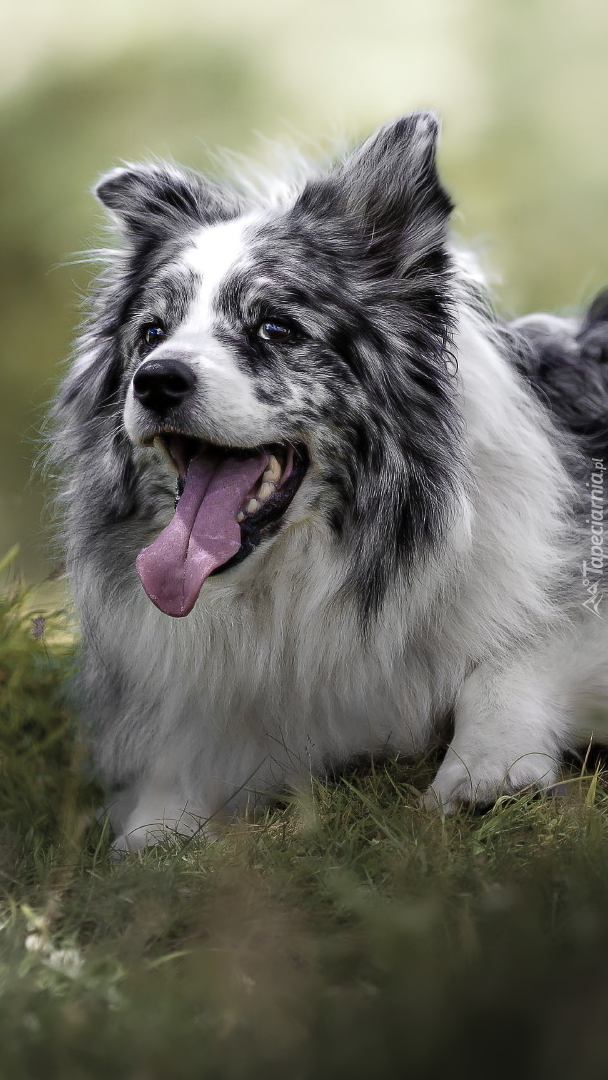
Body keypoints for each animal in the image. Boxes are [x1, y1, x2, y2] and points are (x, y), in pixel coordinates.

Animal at [49, 111, 608, 851]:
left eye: (276, 327)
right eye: (152, 331)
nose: (157, 380)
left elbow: (513, 657)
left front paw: (484, 768)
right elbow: (174, 781)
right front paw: (154, 831)